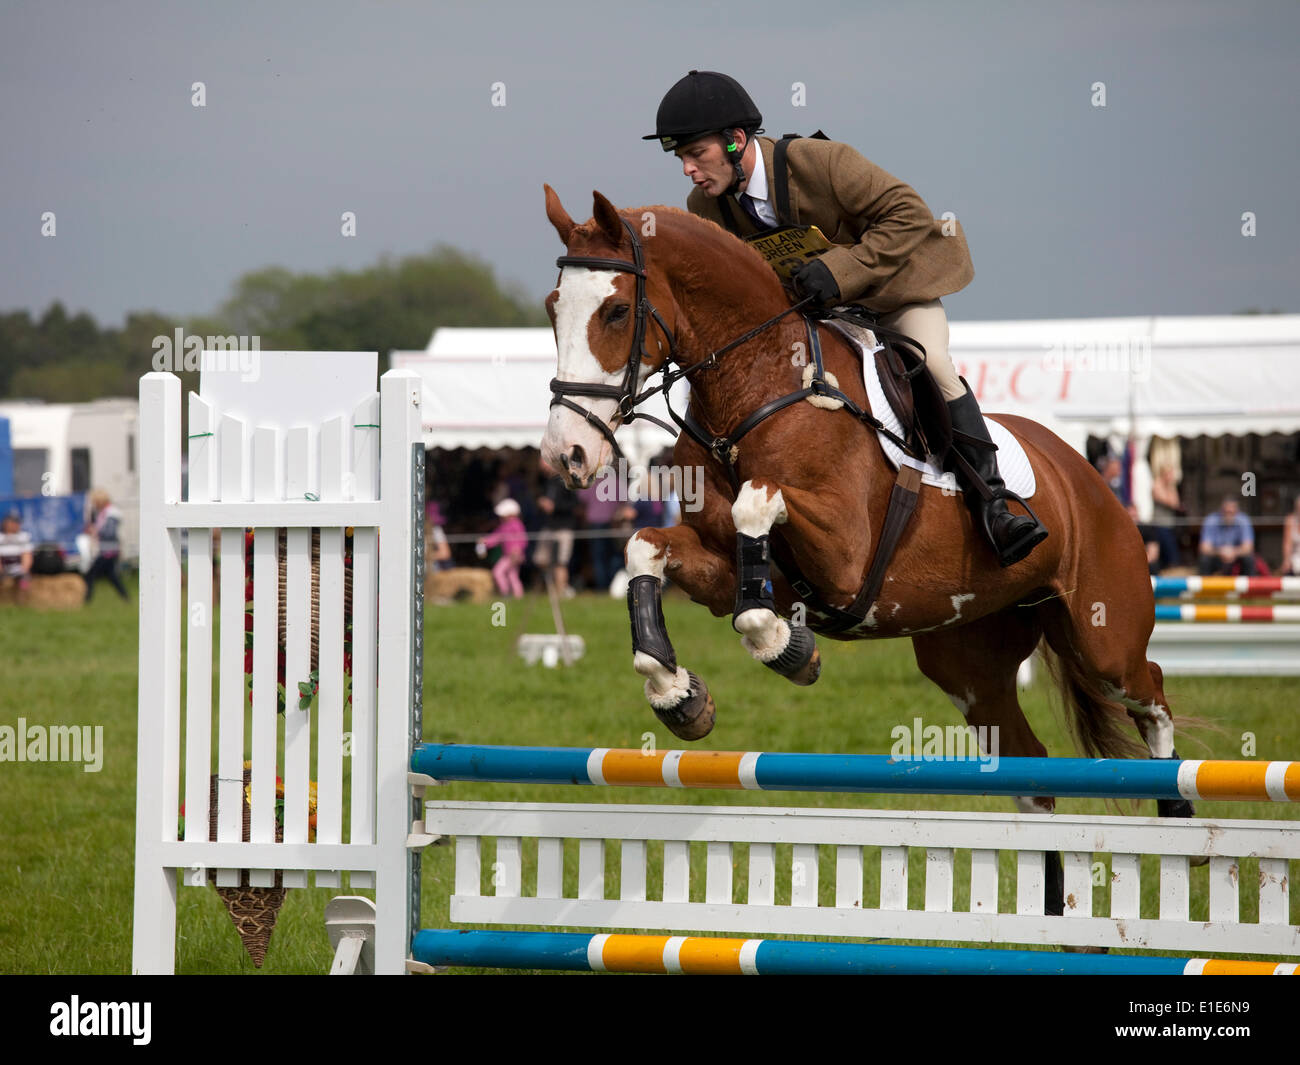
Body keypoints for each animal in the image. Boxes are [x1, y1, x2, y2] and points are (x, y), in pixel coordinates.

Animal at [538, 189, 1190, 827]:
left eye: (616, 311)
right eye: (552, 307)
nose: (566, 454)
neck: (757, 387)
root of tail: (1086, 476)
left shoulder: (844, 557)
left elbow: (756, 508)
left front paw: (788, 650)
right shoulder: (730, 567)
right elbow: (645, 547)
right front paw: (678, 692)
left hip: (1103, 637)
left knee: (1151, 692)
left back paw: (1176, 804)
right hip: (969, 661)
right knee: (1030, 766)